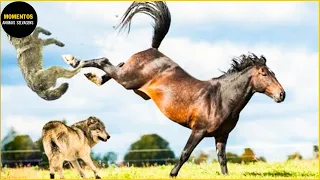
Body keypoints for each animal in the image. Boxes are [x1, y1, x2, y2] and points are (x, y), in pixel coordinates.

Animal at [63, 1, 286, 177]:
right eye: (264, 74)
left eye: (273, 73)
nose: (282, 95)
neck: (222, 98)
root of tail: (153, 50)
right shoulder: (198, 130)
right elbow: (185, 153)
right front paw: (172, 174)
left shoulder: (222, 136)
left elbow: (222, 160)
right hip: (127, 79)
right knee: (104, 61)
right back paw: (74, 61)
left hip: (128, 79)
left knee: (115, 64)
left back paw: (93, 77)